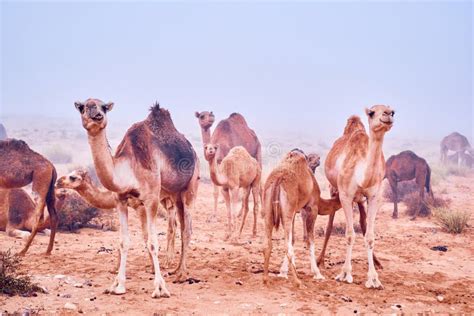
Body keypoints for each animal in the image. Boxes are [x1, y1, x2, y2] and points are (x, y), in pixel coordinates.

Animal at [74, 100, 200, 298]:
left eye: (103, 107)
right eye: (84, 107)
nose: (97, 116)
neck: (128, 168)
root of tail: (192, 151)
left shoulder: (151, 200)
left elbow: (152, 242)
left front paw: (160, 288)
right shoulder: (120, 200)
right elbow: (123, 242)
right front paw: (118, 285)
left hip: (190, 187)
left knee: (187, 229)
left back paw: (182, 274)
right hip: (175, 194)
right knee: (181, 226)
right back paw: (176, 270)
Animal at [262, 150, 342, 286]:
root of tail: (278, 179)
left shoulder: (294, 211)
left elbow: (293, 239)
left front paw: (284, 272)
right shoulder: (312, 208)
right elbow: (310, 240)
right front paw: (317, 274)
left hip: (269, 210)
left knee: (268, 244)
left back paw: (265, 278)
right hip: (287, 209)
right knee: (286, 246)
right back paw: (297, 282)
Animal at [324, 105, 394, 288]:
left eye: (393, 111)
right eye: (372, 112)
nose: (388, 115)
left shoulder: (374, 197)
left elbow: (369, 236)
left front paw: (374, 278)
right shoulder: (345, 196)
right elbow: (349, 234)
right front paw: (345, 274)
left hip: (361, 201)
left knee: (363, 225)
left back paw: (377, 263)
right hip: (334, 189)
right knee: (329, 224)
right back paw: (319, 261)